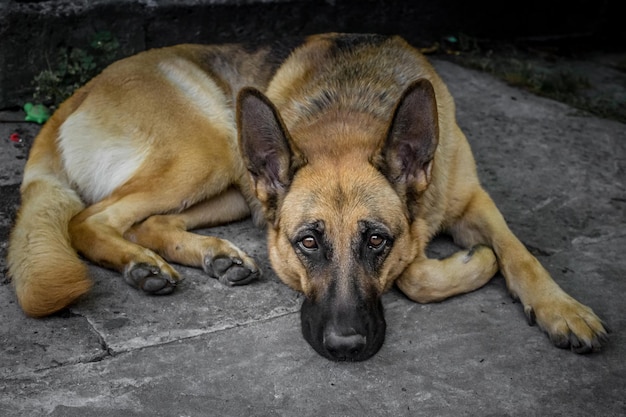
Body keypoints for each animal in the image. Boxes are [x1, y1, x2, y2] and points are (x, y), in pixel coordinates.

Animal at [8, 32, 604, 360]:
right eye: (308, 243)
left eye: (376, 240)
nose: (346, 349)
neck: (348, 112)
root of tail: (73, 98)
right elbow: (417, 274)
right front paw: (472, 263)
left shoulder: (473, 198)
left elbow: (520, 254)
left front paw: (562, 309)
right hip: (209, 153)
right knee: (89, 219)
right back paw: (141, 265)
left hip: (234, 182)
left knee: (148, 221)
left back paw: (212, 256)